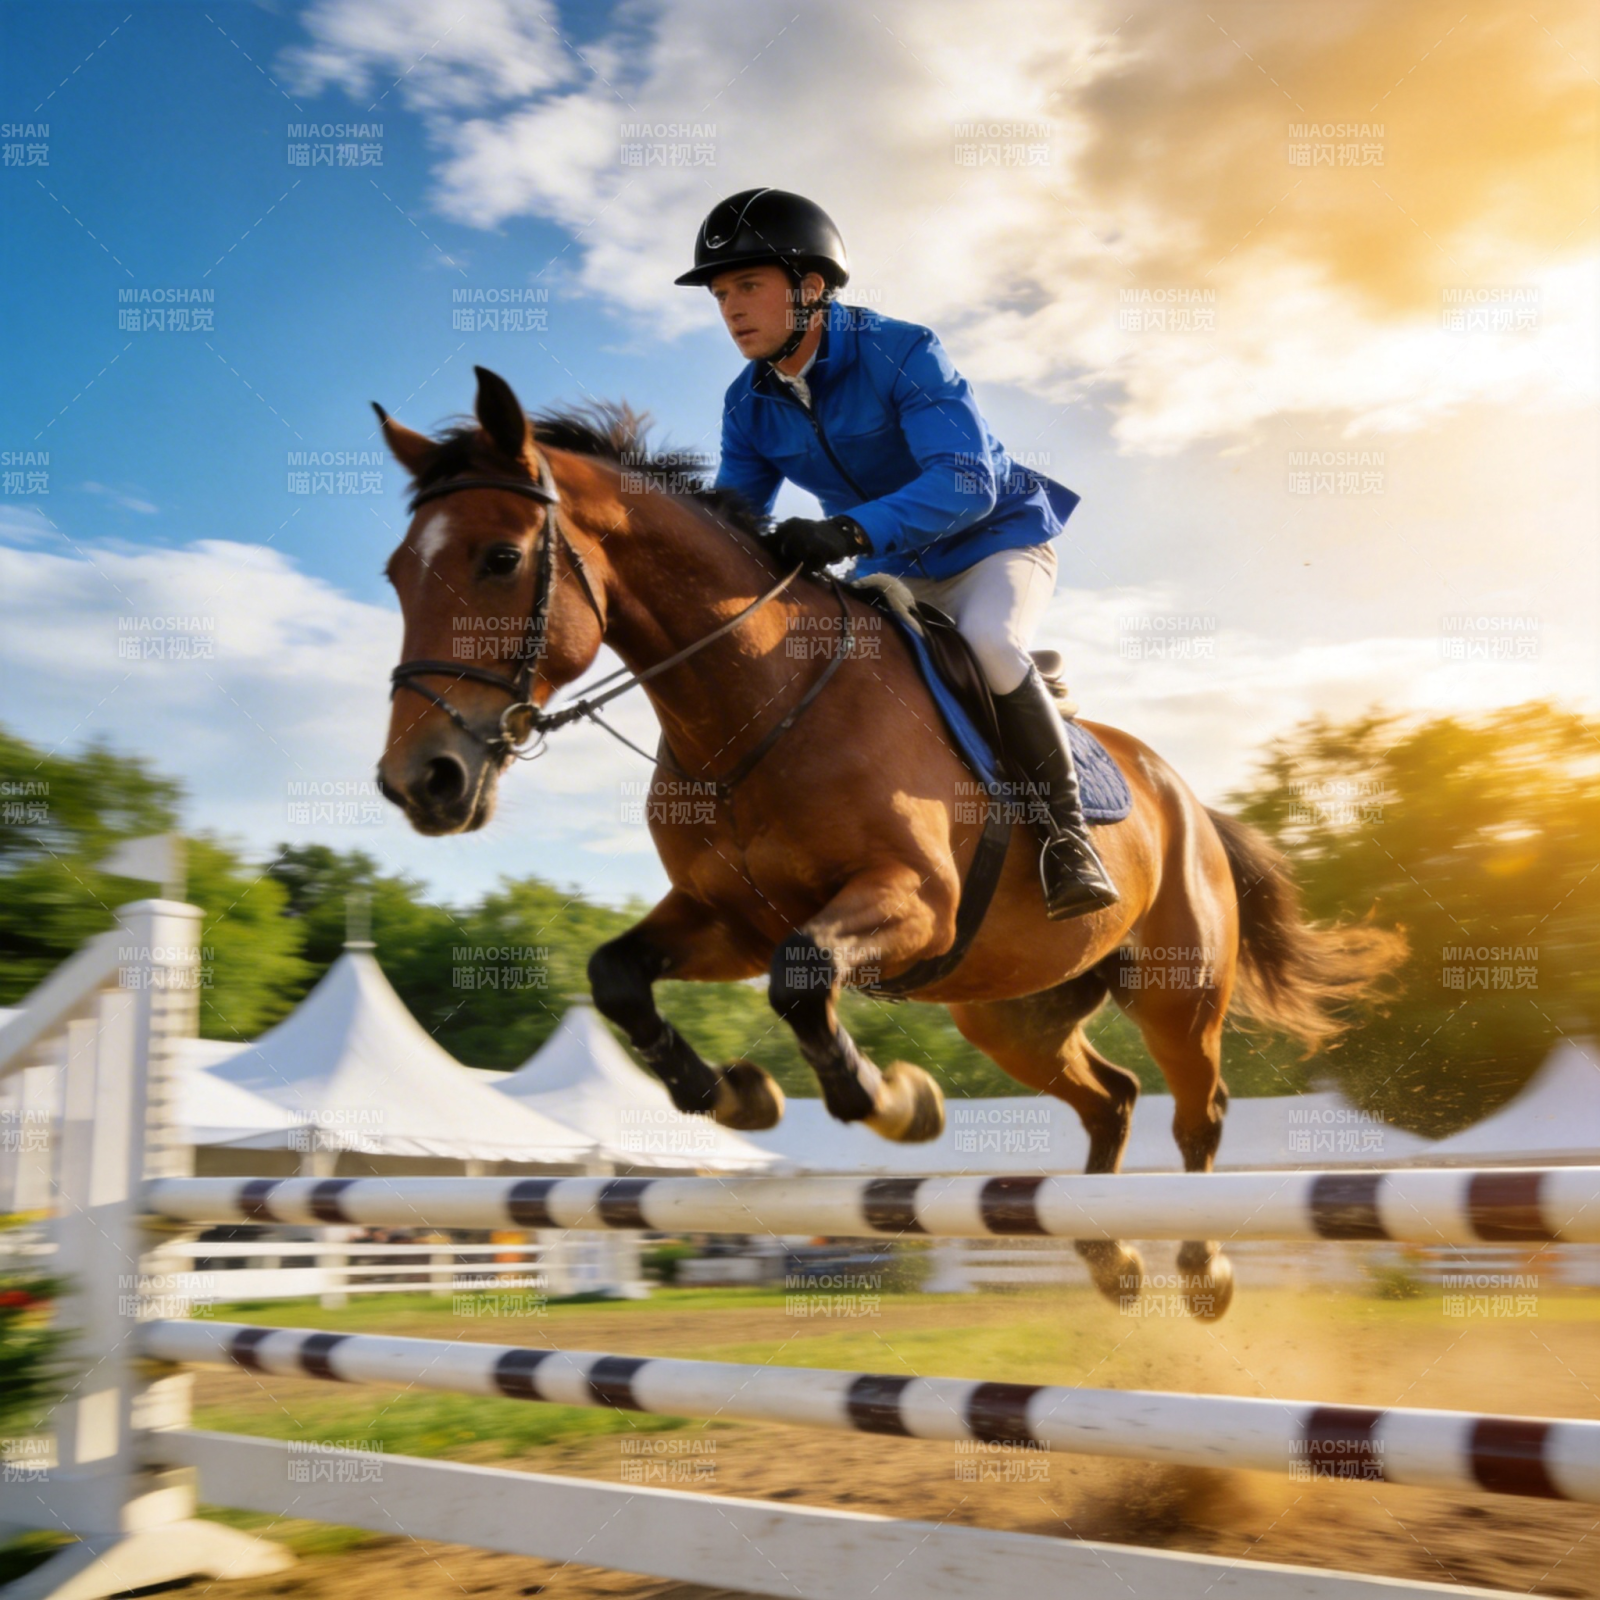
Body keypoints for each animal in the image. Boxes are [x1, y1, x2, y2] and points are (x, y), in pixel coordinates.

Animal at [374, 366, 1403, 1320]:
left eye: (501, 557)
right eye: (394, 574)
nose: (420, 781)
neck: (756, 705)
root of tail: (1182, 794)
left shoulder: (911, 902)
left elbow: (801, 979)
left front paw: (896, 1102)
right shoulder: (728, 919)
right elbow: (618, 974)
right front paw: (738, 1095)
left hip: (1175, 991)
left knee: (1198, 1112)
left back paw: (1201, 1268)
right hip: (1009, 1012)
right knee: (1110, 1096)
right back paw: (1111, 1257)